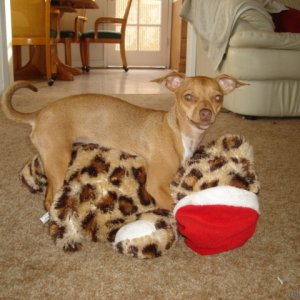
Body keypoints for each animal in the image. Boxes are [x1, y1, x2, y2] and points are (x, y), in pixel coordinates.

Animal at [1, 71, 244, 210]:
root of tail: (39, 113)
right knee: (51, 197)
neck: (178, 131)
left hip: (51, 162)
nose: (205, 113)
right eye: (189, 97)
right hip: (58, 161)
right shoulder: (156, 184)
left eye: (218, 98)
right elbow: (174, 207)